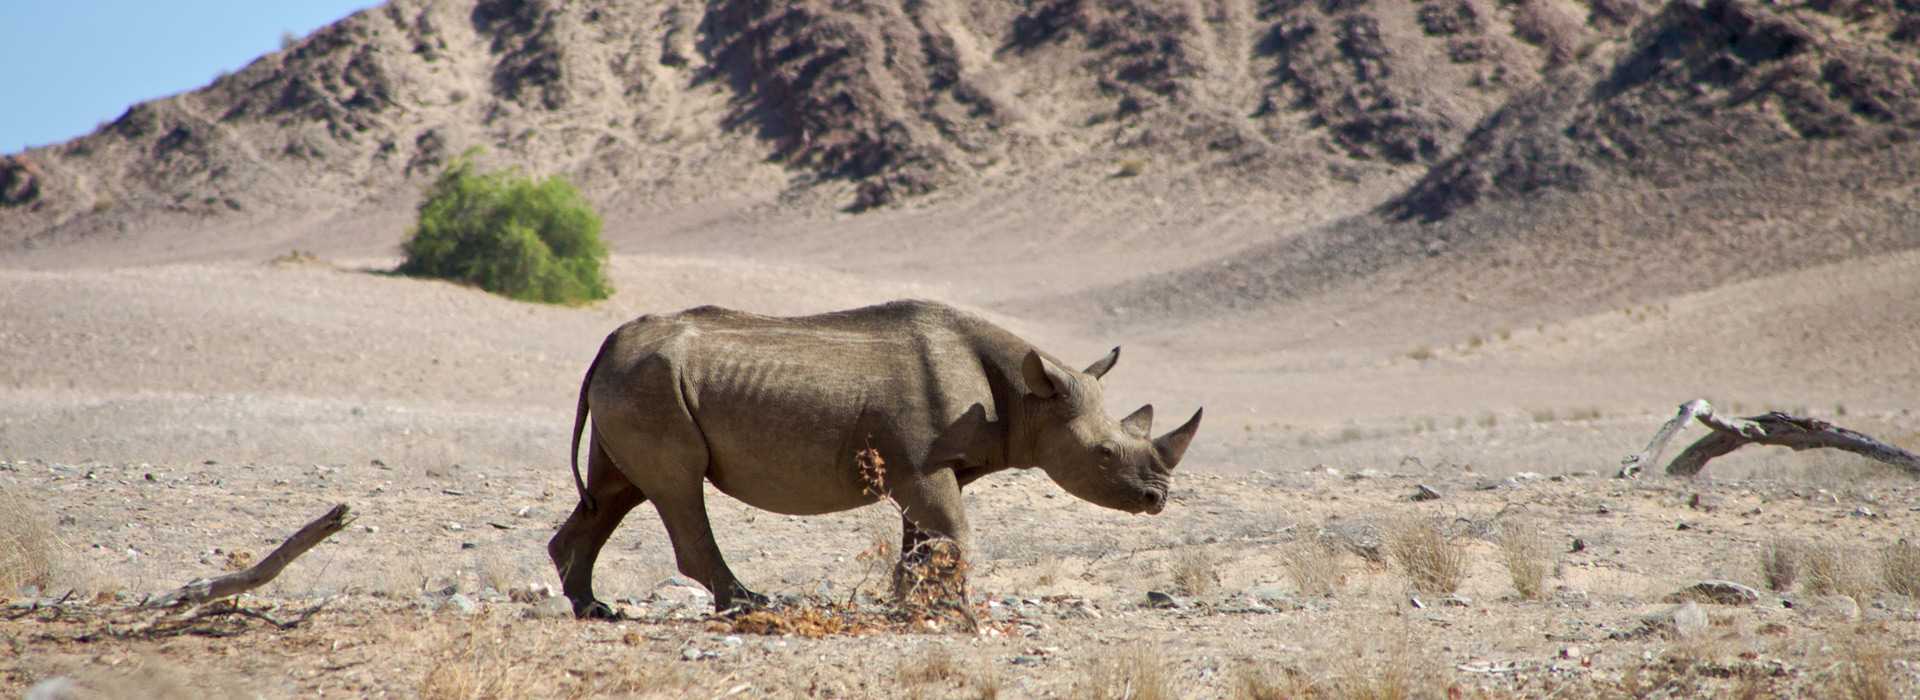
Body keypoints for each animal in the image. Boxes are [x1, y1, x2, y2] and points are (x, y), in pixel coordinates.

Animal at [549, 297, 1198, 613]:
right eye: (1105, 454)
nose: (1156, 500)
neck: (1030, 395)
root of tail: (608, 344)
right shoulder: (923, 465)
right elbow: (954, 532)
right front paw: (951, 611)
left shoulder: (930, 467)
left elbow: (924, 538)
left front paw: (908, 601)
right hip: (652, 387)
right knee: (676, 487)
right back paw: (747, 605)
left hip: (637, 381)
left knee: (616, 492)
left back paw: (593, 608)